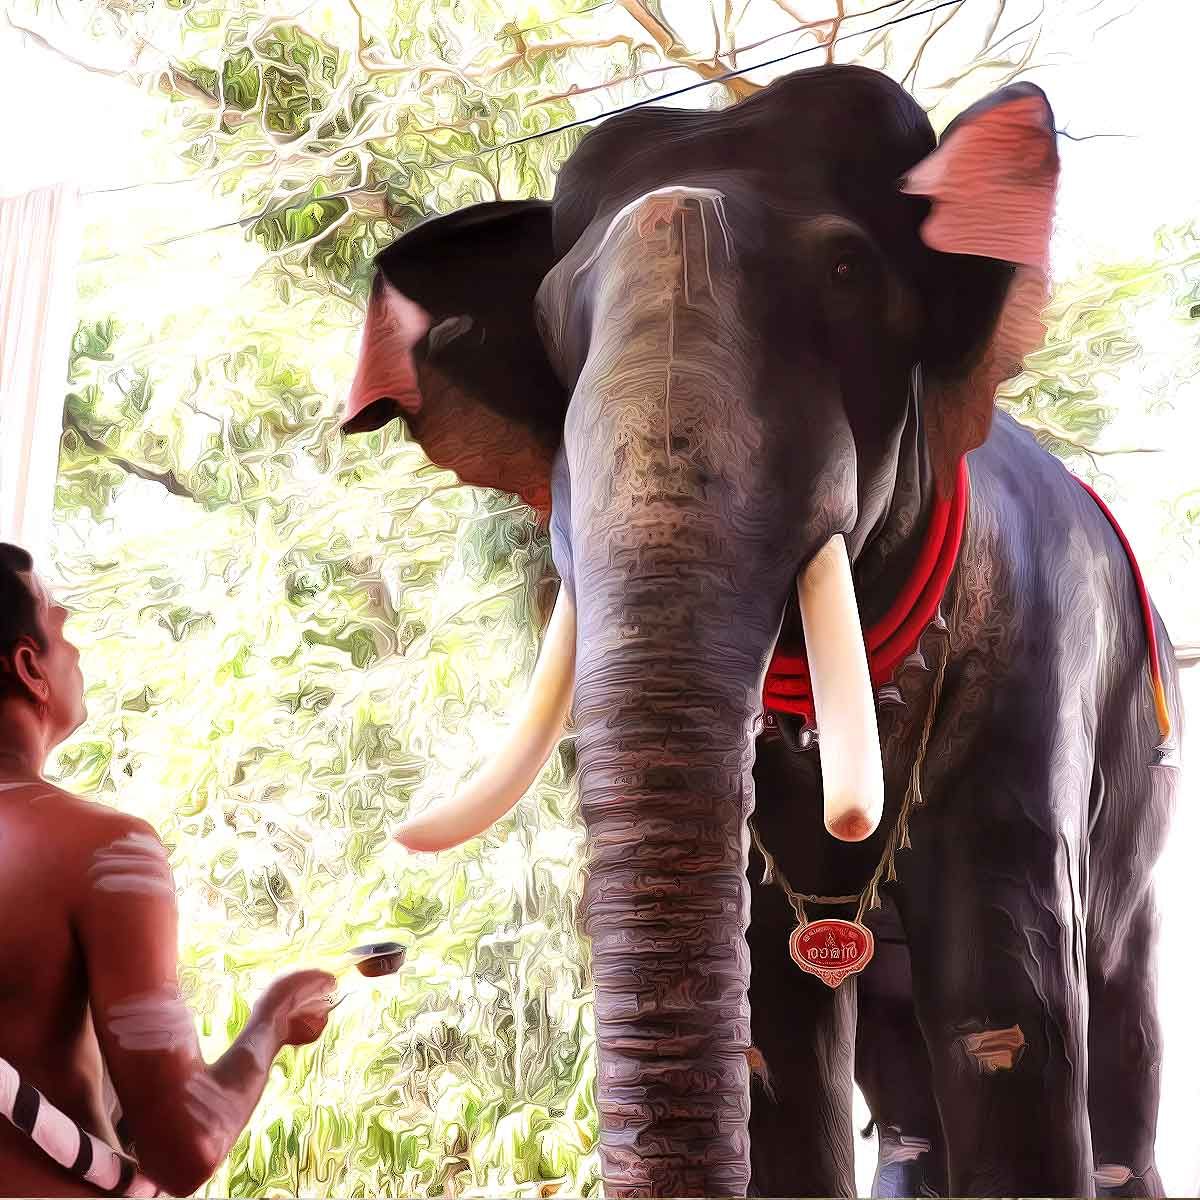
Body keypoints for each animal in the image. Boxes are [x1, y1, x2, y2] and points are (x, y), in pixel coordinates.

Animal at [339, 64, 1182, 1198]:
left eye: (847, 269)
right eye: (553, 321)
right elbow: (775, 1022)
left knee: (1116, 1003)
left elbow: (1002, 1000)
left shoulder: (1033, 662)